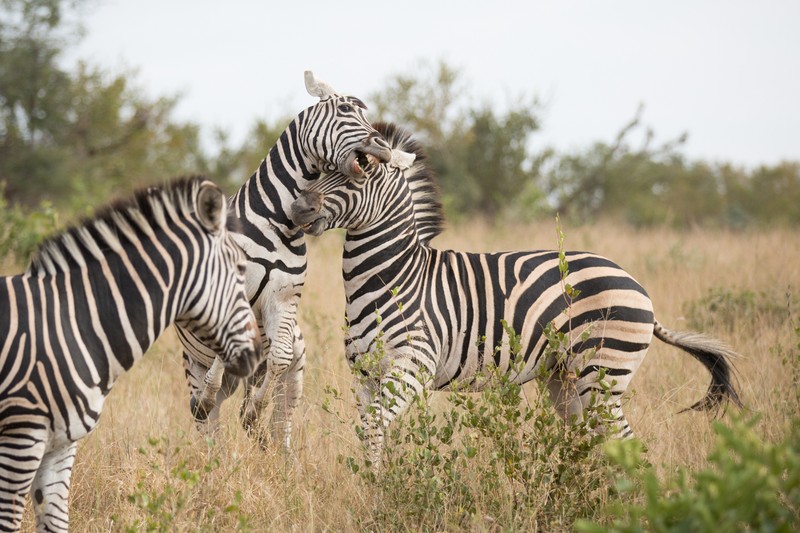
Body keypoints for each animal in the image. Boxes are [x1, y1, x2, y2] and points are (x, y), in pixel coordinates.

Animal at [0, 177, 260, 528]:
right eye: (241, 269)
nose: (255, 355)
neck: (77, 323)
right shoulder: (21, 437)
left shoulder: (60, 446)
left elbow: (56, 521)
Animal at [180, 68, 394, 446]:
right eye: (344, 110)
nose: (383, 145)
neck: (276, 222)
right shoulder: (229, 292)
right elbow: (225, 348)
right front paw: (211, 397)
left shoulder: (283, 299)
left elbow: (277, 359)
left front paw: (253, 414)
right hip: (193, 363)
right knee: (208, 426)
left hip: (295, 372)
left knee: (281, 422)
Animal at [290, 121, 748, 466]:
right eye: (322, 166)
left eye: (357, 172)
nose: (297, 209)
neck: (390, 277)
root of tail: (635, 283)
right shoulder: (364, 374)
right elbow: (368, 432)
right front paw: (376, 488)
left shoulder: (411, 366)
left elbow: (374, 430)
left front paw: (385, 494)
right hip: (566, 380)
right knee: (594, 441)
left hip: (603, 373)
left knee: (626, 444)